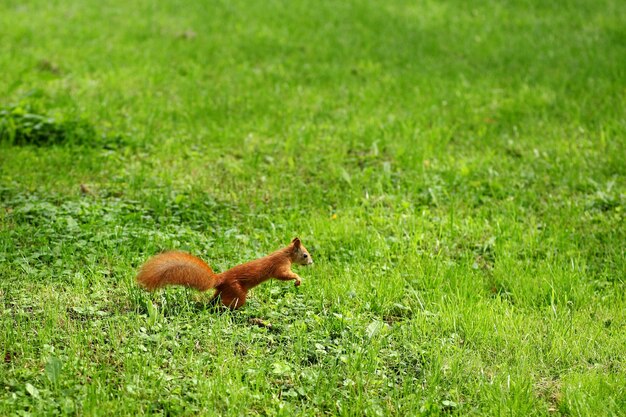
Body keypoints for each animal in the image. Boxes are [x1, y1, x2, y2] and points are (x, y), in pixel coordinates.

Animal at [136, 236, 312, 308]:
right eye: (305, 255)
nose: (311, 262)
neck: (285, 254)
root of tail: (219, 279)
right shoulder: (280, 265)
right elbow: (283, 275)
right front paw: (298, 279)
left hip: (225, 291)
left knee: (214, 300)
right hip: (237, 291)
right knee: (226, 304)